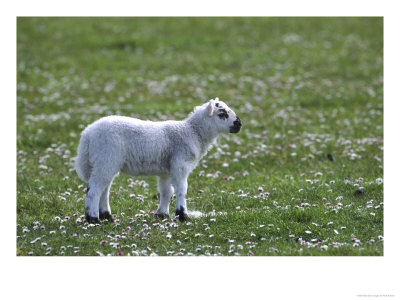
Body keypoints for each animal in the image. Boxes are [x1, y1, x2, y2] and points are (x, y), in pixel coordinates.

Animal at [75, 98, 242, 223]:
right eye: (222, 114)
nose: (239, 124)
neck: (192, 132)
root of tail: (87, 134)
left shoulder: (166, 171)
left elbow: (167, 191)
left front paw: (162, 214)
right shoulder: (180, 165)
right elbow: (182, 190)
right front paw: (182, 215)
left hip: (106, 162)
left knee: (104, 189)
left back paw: (107, 216)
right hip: (107, 157)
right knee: (94, 189)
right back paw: (93, 218)